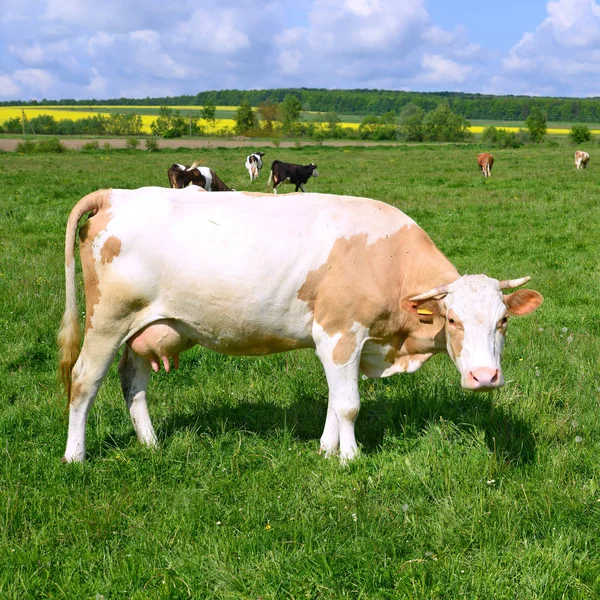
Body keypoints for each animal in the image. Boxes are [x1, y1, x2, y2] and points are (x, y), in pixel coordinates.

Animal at [59, 188, 544, 464]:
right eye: (452, 319)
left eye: (502, 321)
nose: (485, 377)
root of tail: (116, 195)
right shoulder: (340, 334)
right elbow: (348, 405)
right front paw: (350, 459)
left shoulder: (341, 343)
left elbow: (334, 401)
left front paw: (327, 450)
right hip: (108, 319)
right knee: (84, 381)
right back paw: (75, 456)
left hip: (145, 326)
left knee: (132, 381)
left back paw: (150, 444)